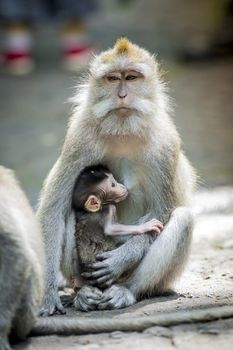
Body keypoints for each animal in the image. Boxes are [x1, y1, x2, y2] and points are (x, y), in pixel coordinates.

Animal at [38, 37, 197, 316]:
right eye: (113, 79)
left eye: (131, 77)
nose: (122, 95)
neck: (123, 130)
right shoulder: (79, 140)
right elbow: (53, 209)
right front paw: (48, 294)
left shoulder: (166, 145)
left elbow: (163, 211)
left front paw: (122, 259)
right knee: (69, 212)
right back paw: (83, 292)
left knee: (183, 219)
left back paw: (126, 290)